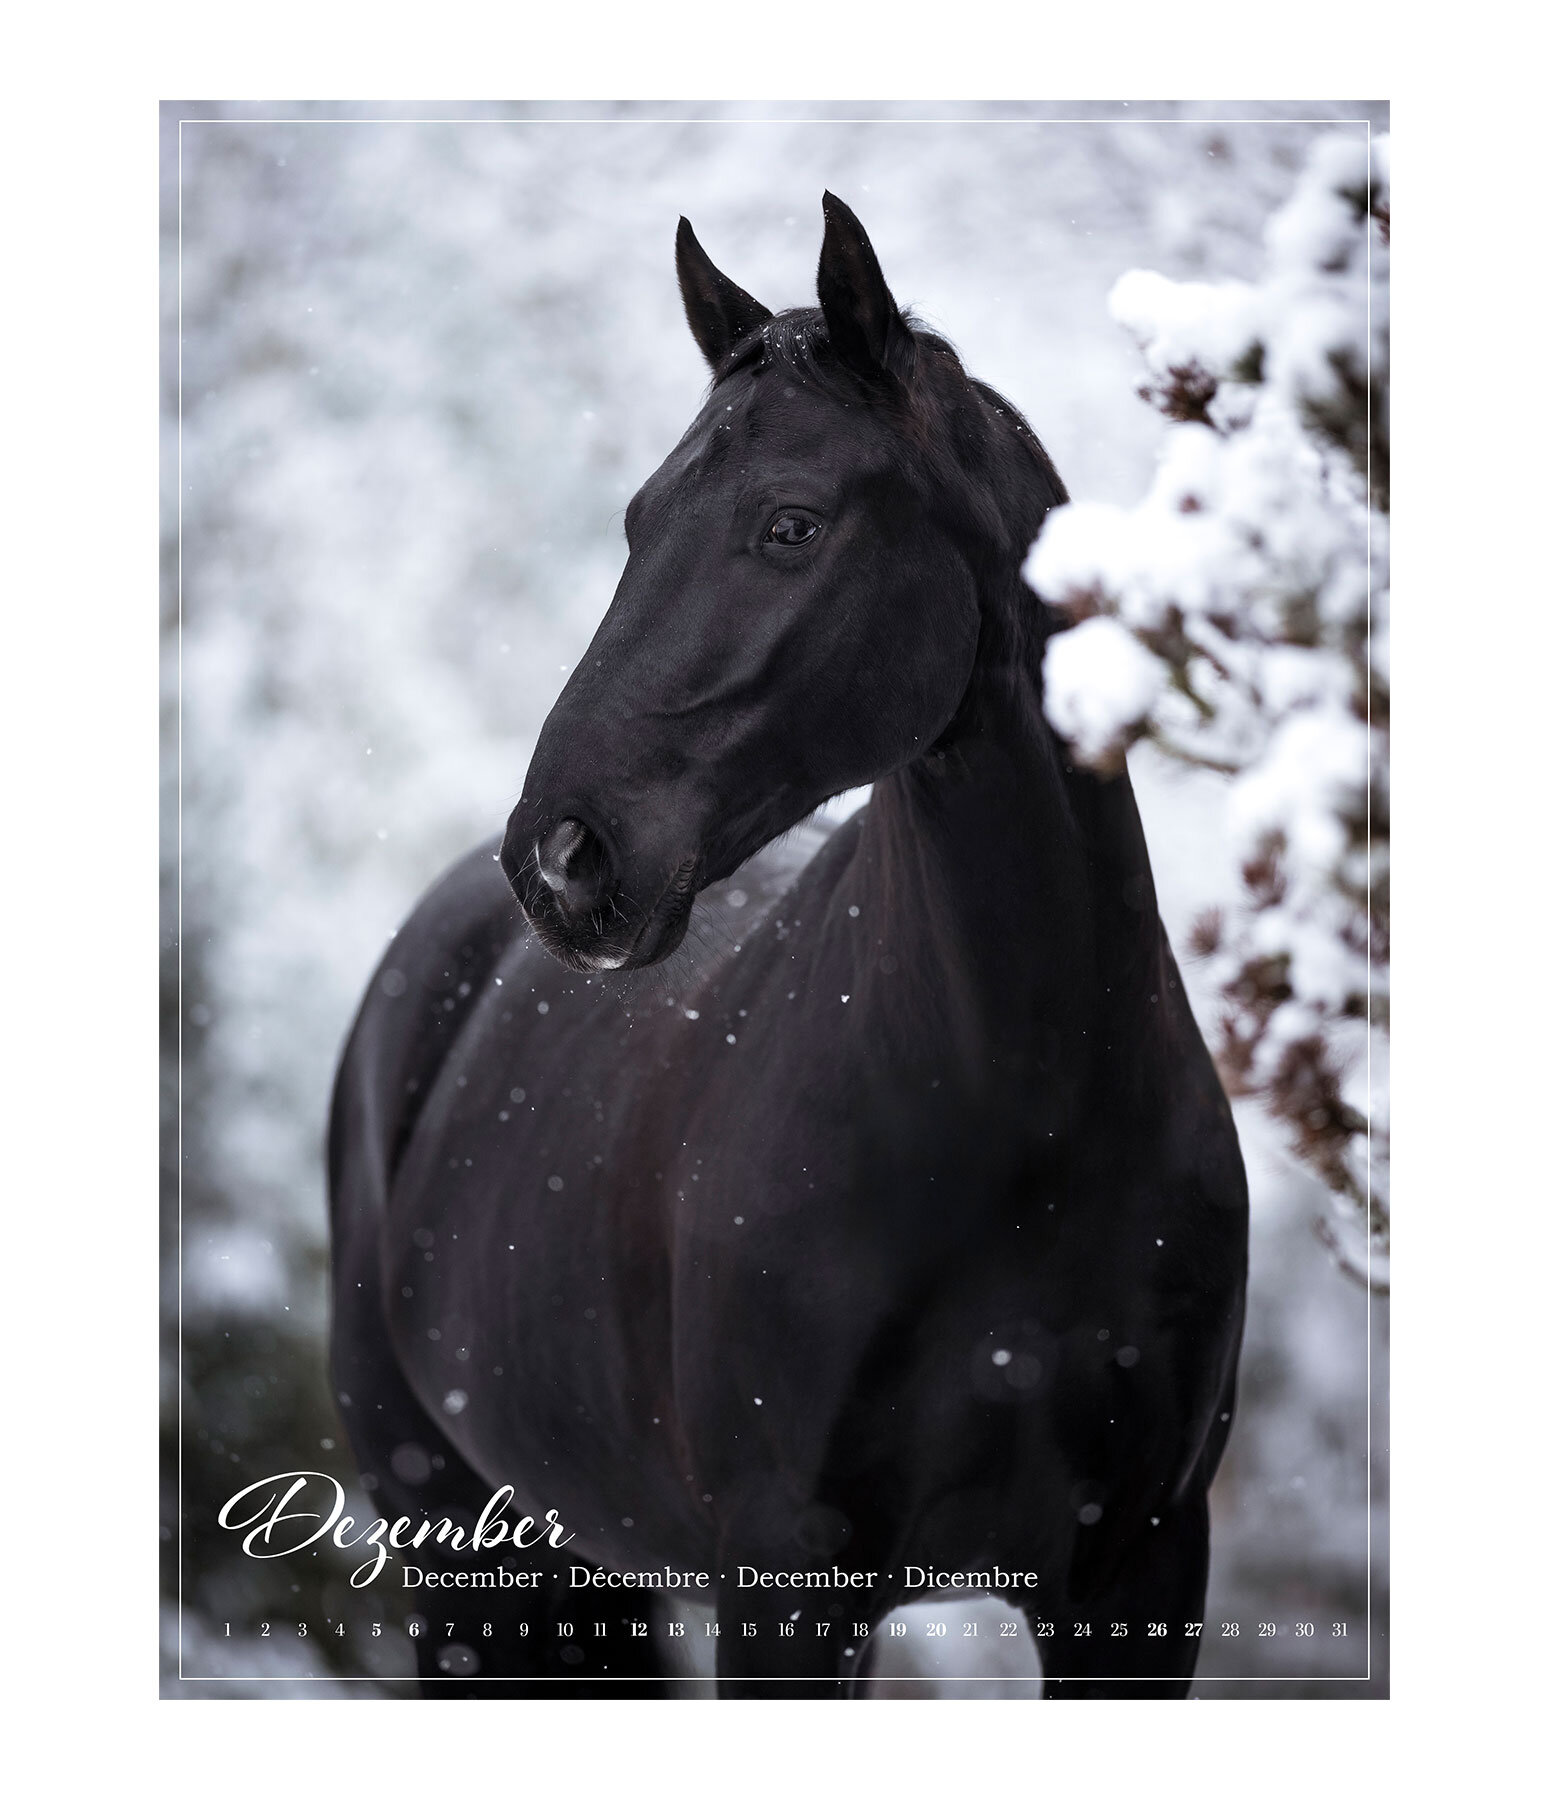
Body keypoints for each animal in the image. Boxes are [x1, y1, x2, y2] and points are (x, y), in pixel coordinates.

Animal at [328, 193, 1248, 1699]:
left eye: (790, 524)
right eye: (639, 520)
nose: (563, 857)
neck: (1031, 1118)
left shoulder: (1142, 1572)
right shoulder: (786, 1583)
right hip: (466, 1562)